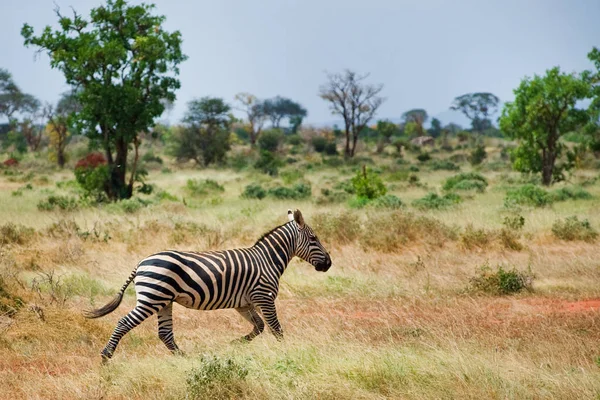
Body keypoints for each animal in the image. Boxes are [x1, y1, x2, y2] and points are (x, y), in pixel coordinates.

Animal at [82, 208, 330, 360]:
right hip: (152, 298)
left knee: (165, 333)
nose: (328, 263)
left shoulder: (244, 303)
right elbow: (276, 329)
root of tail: (141, 262)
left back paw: (184, 359)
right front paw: (285, 352)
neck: (267, 259)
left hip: (164, 301)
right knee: (124, 322)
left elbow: (259, 327)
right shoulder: (264, 297)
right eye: (314, 239)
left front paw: (236, 343)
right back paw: (106, 356)